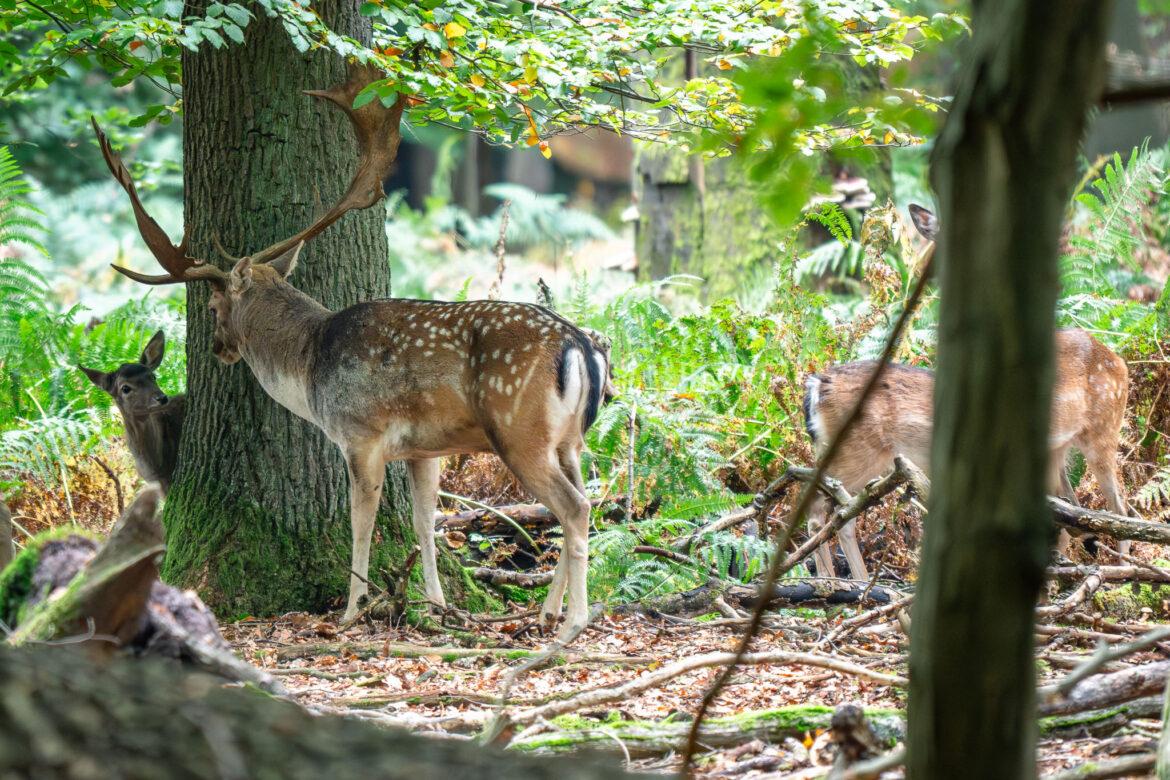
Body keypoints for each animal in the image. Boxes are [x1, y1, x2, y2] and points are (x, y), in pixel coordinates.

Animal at [92, 65, 609, 639]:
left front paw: (352, 608)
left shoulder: (361, 434)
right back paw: (546, 610)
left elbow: (361, 523)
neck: (307, 364)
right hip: (570, 439)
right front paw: (435, 604)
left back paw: (571, 622)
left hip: (520, 429)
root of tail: (579, 345)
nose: (219, 348)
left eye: (211, 305)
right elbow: (424, 522)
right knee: (583, 500)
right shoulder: (425, 449)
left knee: (576, 507)